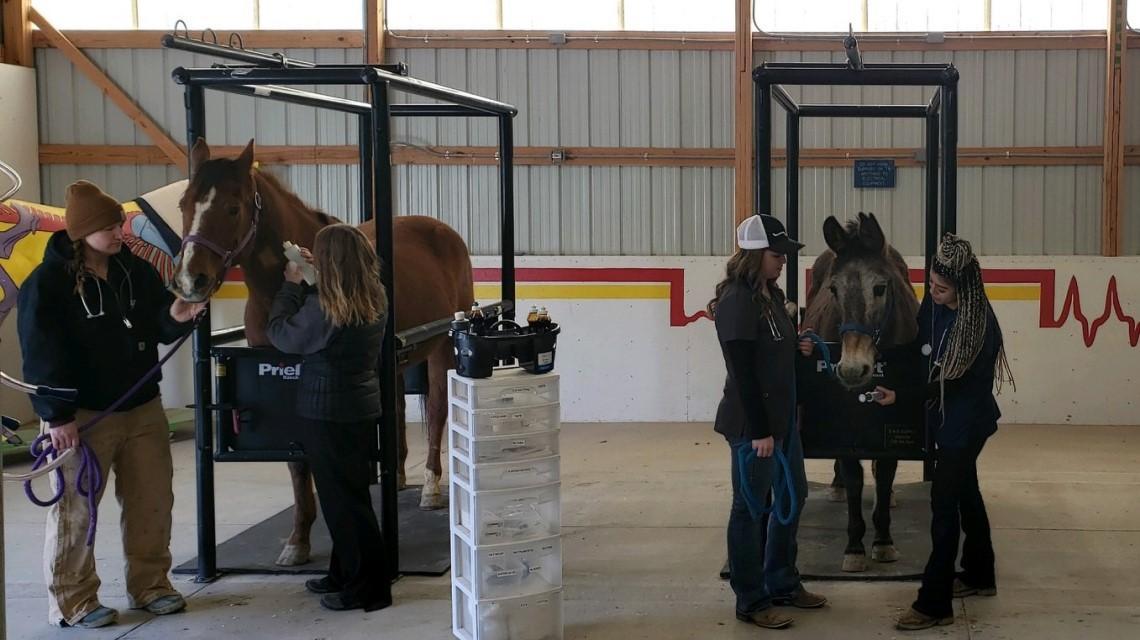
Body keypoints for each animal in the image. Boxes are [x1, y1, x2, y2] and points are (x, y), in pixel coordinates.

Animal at [168, 139, 471, 563]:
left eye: (232, 207)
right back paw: (394, 480)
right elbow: (297, 461)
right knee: (396, 414)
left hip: (443, 345)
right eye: (184, 205)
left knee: (440, 409)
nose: (189, 281)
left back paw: (430, 487)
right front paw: (298, 541)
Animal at [798, 212, 921, 570]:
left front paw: (883, 540)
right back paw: (836, 486)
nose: (853, 369)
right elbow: (854, 477)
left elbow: (886, 471)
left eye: (880, 287)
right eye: (834, 289)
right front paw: (854, 546)